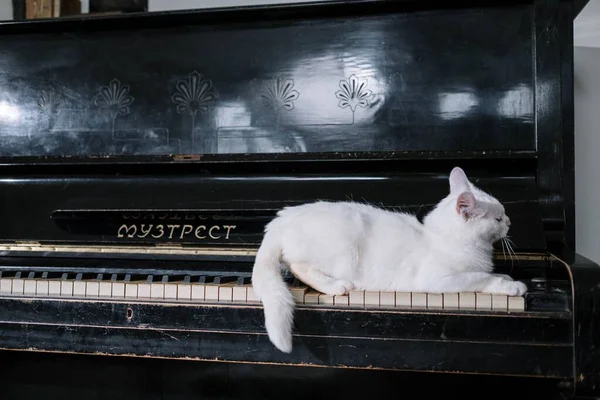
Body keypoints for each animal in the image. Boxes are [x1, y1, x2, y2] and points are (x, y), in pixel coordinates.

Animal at [251, 166, 528, 354]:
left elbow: (491, 273)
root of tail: (278, 222)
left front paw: (506, 277)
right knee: (299, 266)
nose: (510, 222)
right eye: (498, 218)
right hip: (341, 248)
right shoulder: (439, 279)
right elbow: (480, 277)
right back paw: (337, 286)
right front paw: (511, 286)